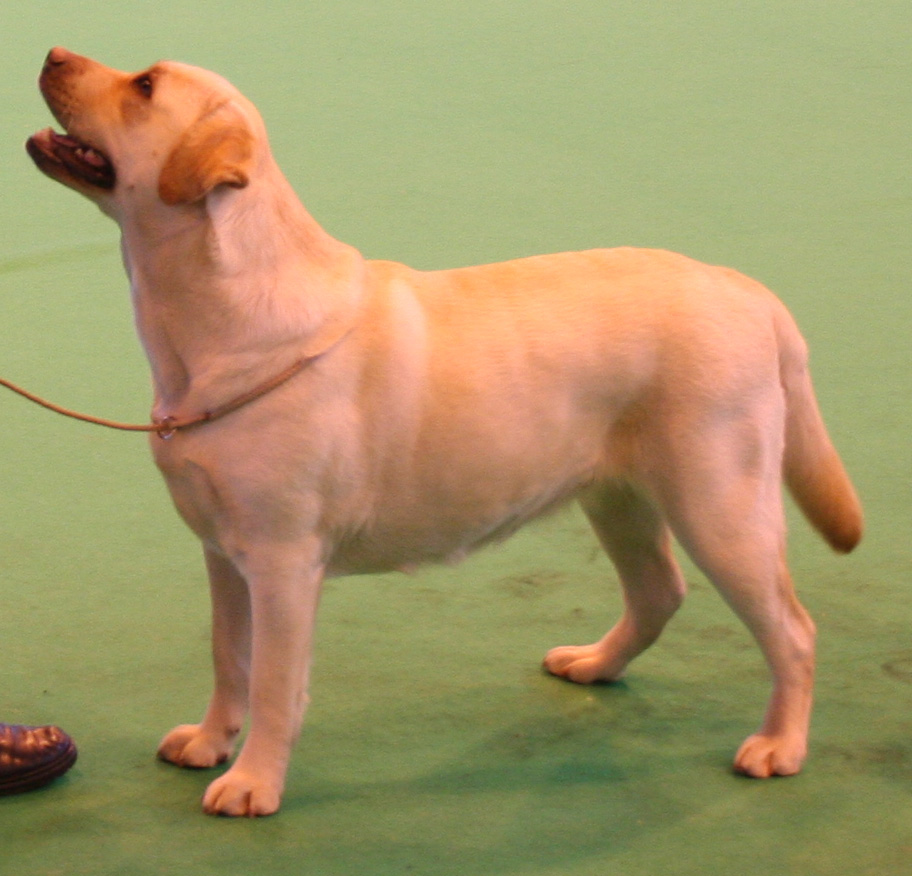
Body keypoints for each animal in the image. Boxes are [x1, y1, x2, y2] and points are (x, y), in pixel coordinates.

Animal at [25, 48, 860, 816]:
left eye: (144, 87)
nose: (53, 53)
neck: (216, 316)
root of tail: (747, 289)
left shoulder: (282, 561)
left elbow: (272, 684)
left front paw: (254, 782)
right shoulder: (222, 552)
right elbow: (228, 658)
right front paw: (209, 742)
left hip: (720, 504)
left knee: (793, 631)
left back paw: (779, 745)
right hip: (618, 496)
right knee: (660, 592)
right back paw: (594, 664)